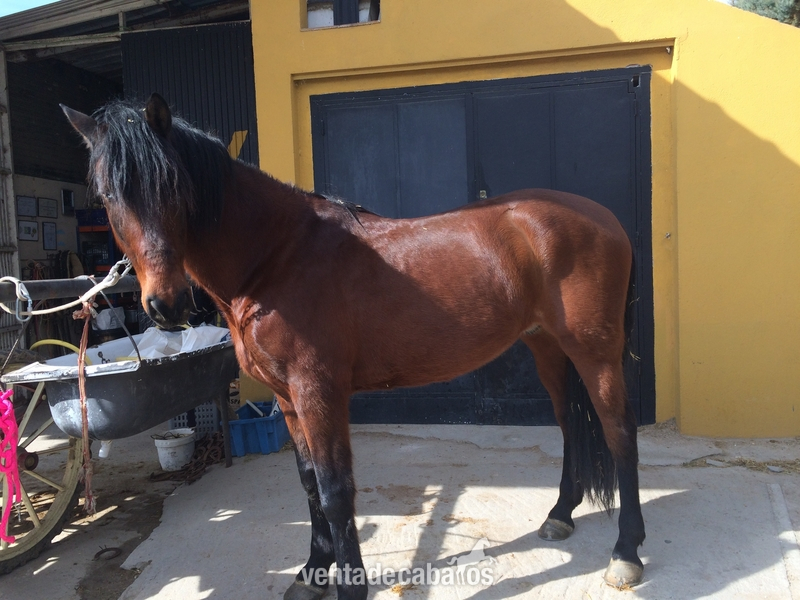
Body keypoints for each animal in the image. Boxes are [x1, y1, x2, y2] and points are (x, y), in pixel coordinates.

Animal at [62, 93, 645, 599]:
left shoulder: (319, 393)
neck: (278, 256)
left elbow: (336, 490)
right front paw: (311, 573)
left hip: (596, 352)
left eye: (175, 189)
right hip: (546, 346)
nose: (166, 304)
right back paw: (560, 515)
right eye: (109, 199)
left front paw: (348, 586)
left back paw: (627, 552)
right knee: (571, 424)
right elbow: (308, 485)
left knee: (618, 432)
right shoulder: (288, 399)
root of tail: (606, 219)